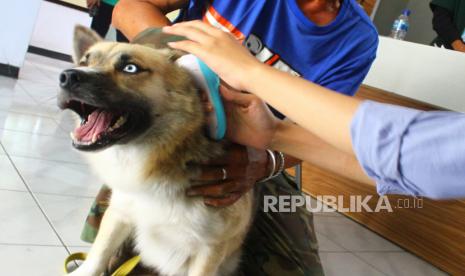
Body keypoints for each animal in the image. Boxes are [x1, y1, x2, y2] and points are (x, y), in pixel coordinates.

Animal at [59, 25, 254, 276]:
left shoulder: (210, 248)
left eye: (130, 68)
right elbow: (98, 255)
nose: (66, 76)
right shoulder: (119, 212)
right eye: (85, 61)